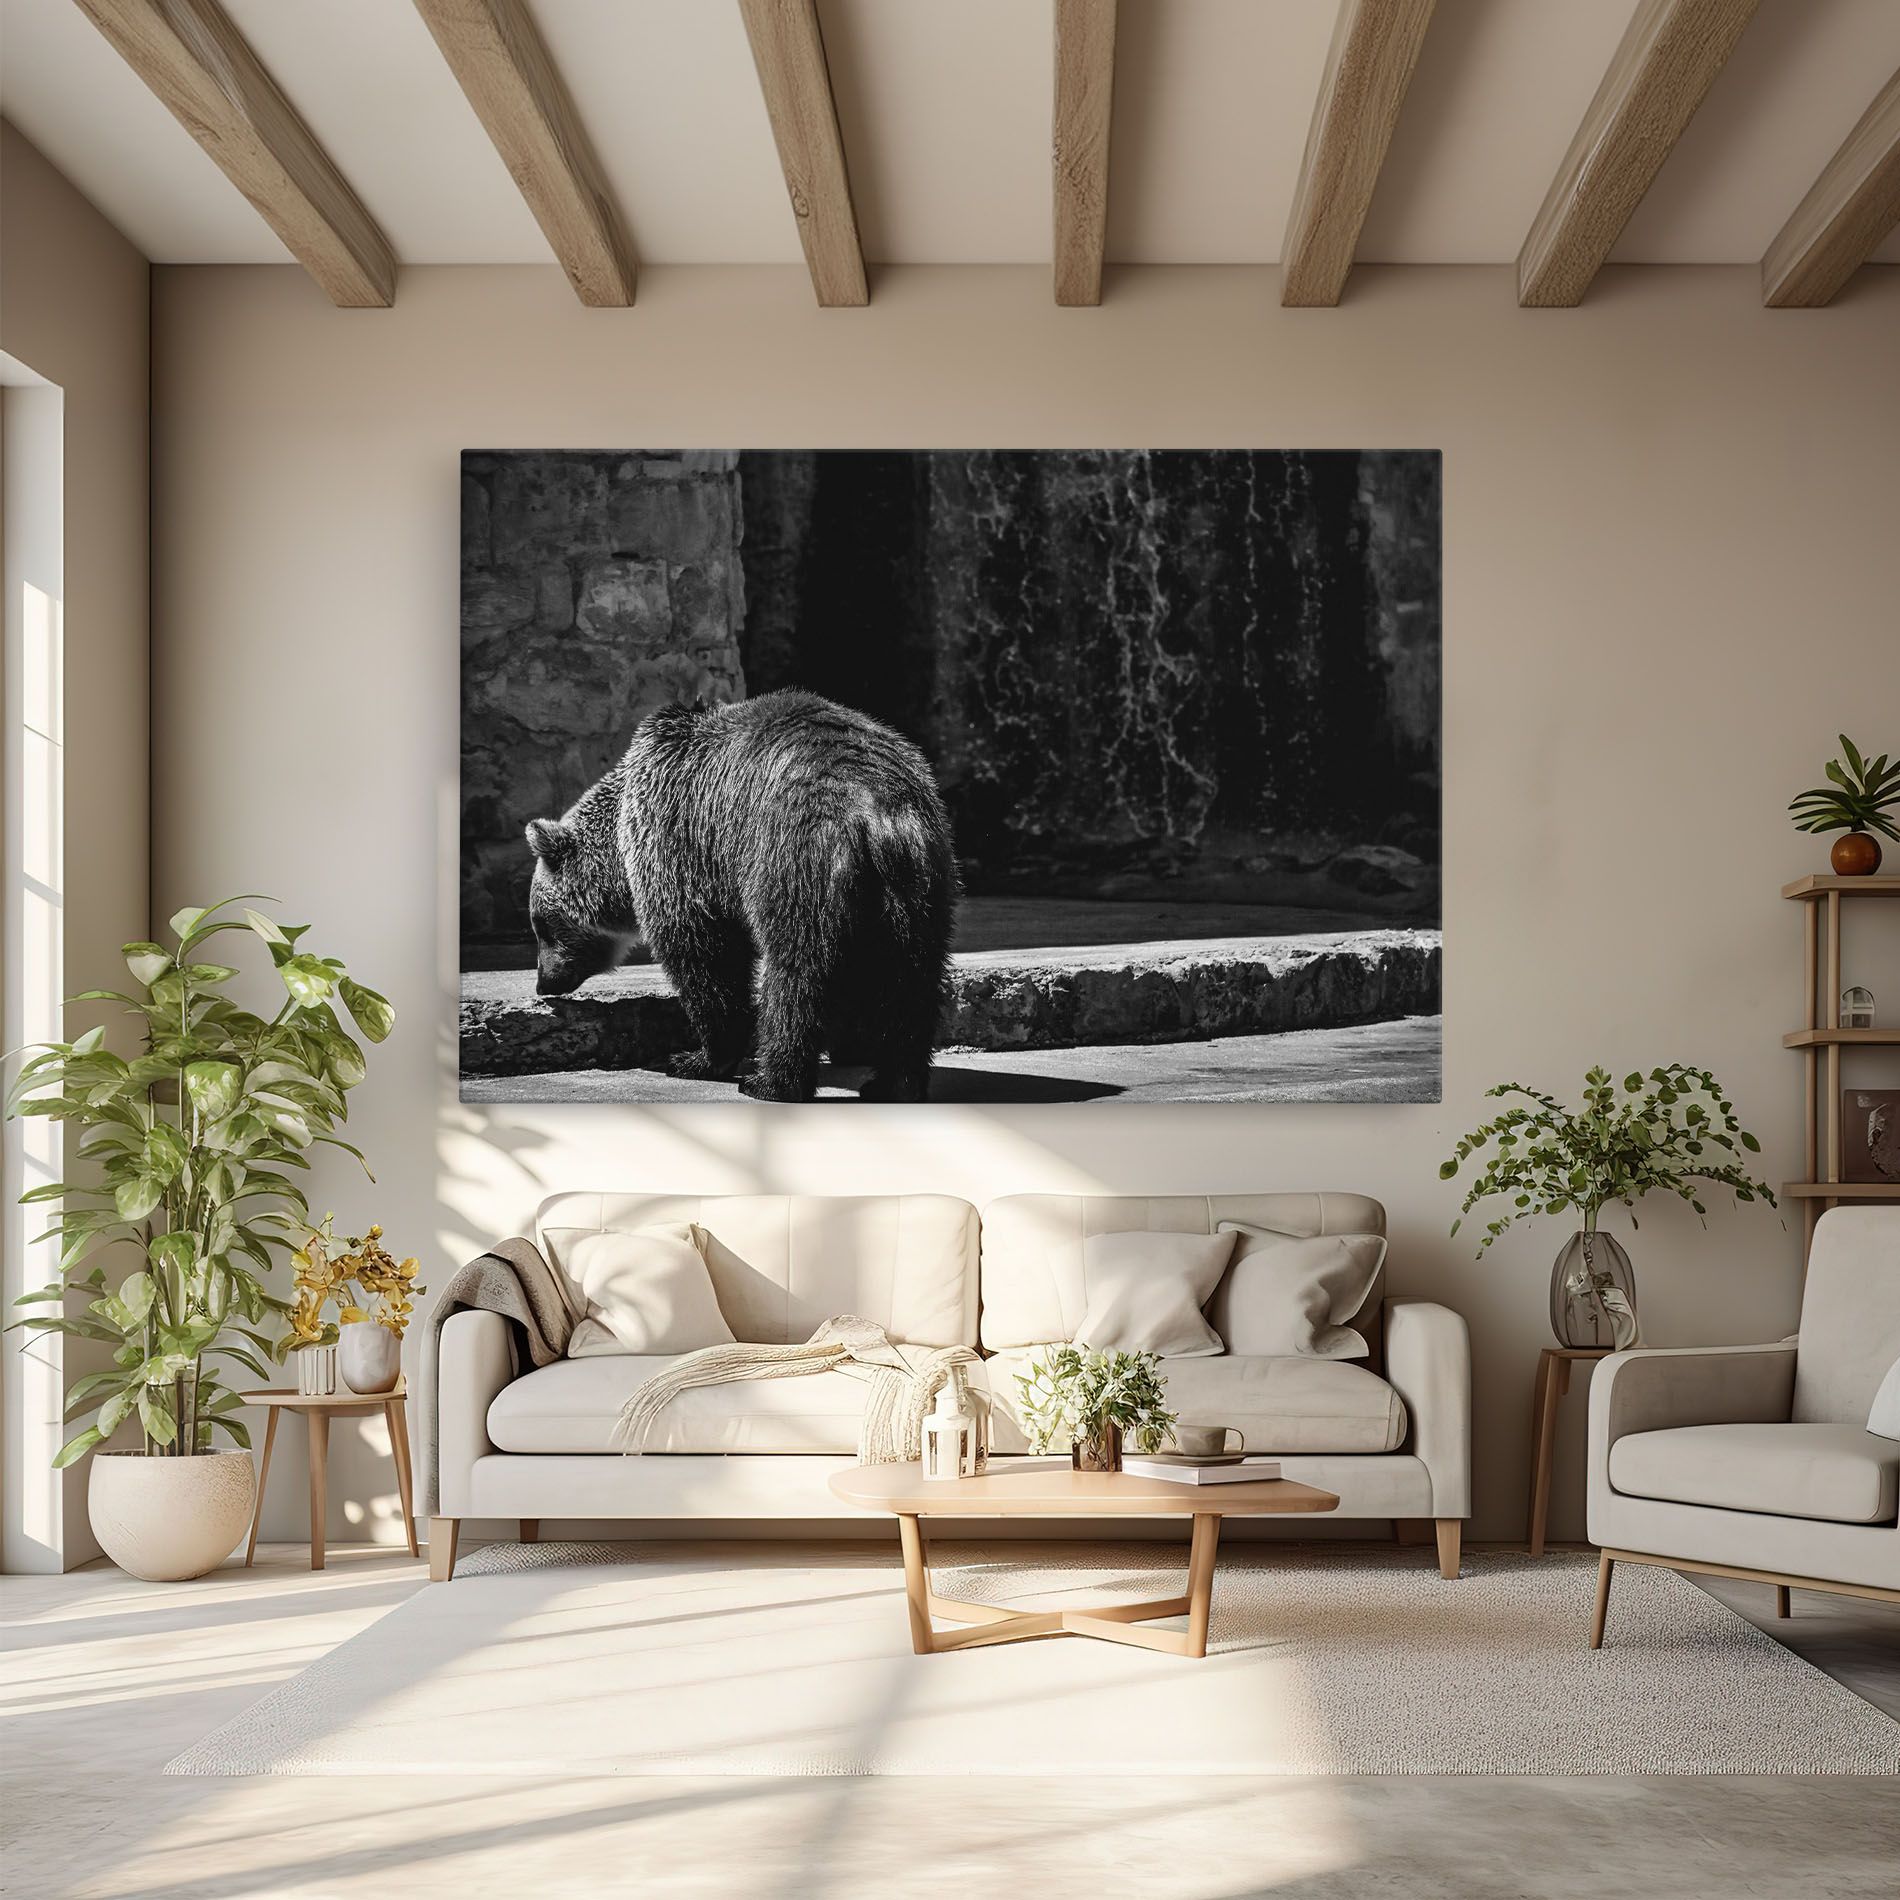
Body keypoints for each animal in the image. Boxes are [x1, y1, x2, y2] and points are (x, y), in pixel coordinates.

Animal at [524, 689, 959, 1103]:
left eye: (541, 925)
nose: (544, 983)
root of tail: (878, 811)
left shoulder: (683, 840)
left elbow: (705, 954)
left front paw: (695, 1058)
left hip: (795, 860)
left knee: (797, 975)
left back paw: (770, 1082)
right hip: (920, 885)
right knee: (912, 978)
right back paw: (894, 1083)